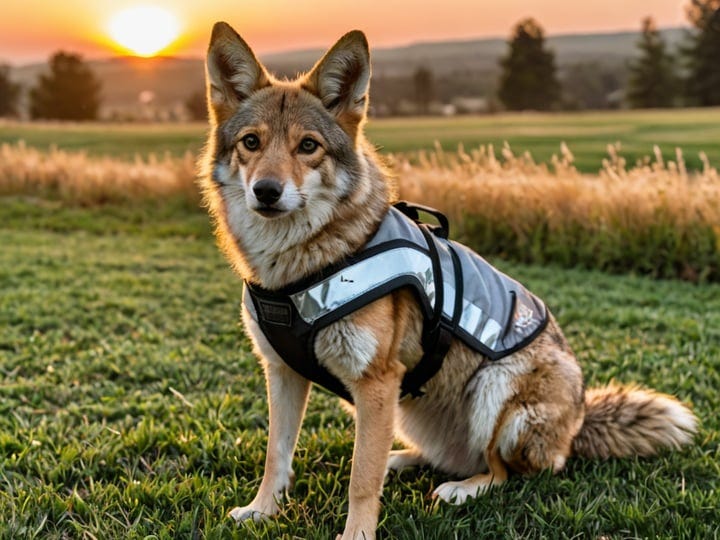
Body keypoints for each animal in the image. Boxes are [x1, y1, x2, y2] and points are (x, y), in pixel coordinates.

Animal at [197, 22, 696, 540]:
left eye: (308, 146)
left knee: (503, 469)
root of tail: (577, 426)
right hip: (410, 410)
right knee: (442, 455)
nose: (266, 191)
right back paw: (401, 460)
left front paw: (356, 534)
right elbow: (277, 455)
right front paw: (262, 510)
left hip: (495, 388)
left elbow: (360, 479)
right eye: (251, 143)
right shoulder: (285, 372)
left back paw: (462, 489)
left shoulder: (375, 383)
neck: (298, 270)